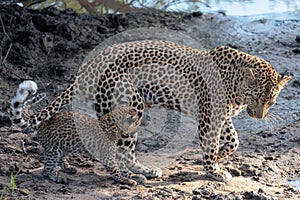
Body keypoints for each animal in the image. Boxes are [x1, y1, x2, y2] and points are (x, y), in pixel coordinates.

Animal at [10, 39, 292, 182]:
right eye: (257, 97)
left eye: (271, 101)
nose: (259, 116)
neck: (236, 84)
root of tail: (87, 66)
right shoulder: (210, 117)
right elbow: (211, 145)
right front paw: (213, 170)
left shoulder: (222, 117)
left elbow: (234, 141)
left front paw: (222, 158)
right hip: (131, 106)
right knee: (123, 151)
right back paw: (138, 174)